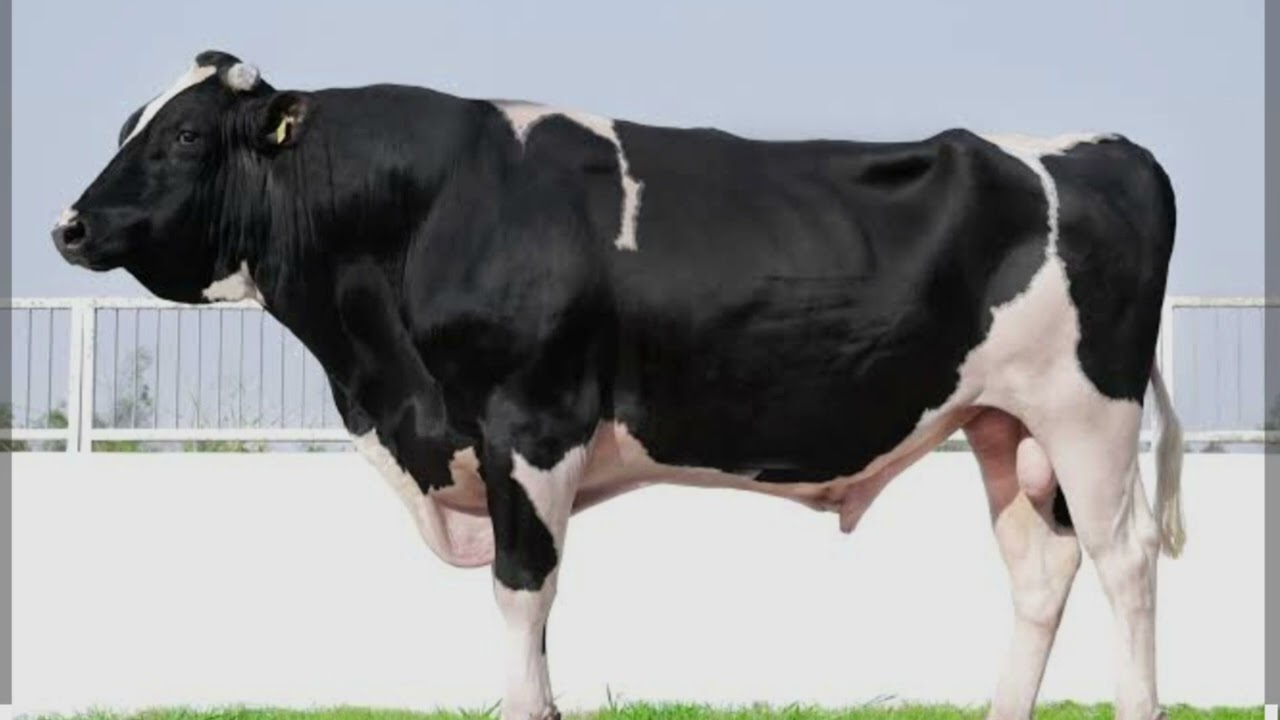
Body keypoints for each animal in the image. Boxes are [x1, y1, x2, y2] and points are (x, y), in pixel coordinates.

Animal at [52, 51, 1185, 720]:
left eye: (185, 134)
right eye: (127, 125)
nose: (68, 225)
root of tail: (1104, 149)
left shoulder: (529, 423)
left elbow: (523, 594)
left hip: (1088, 415)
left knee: (1124, 560)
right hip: (1000, 422)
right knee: (1039, 568)